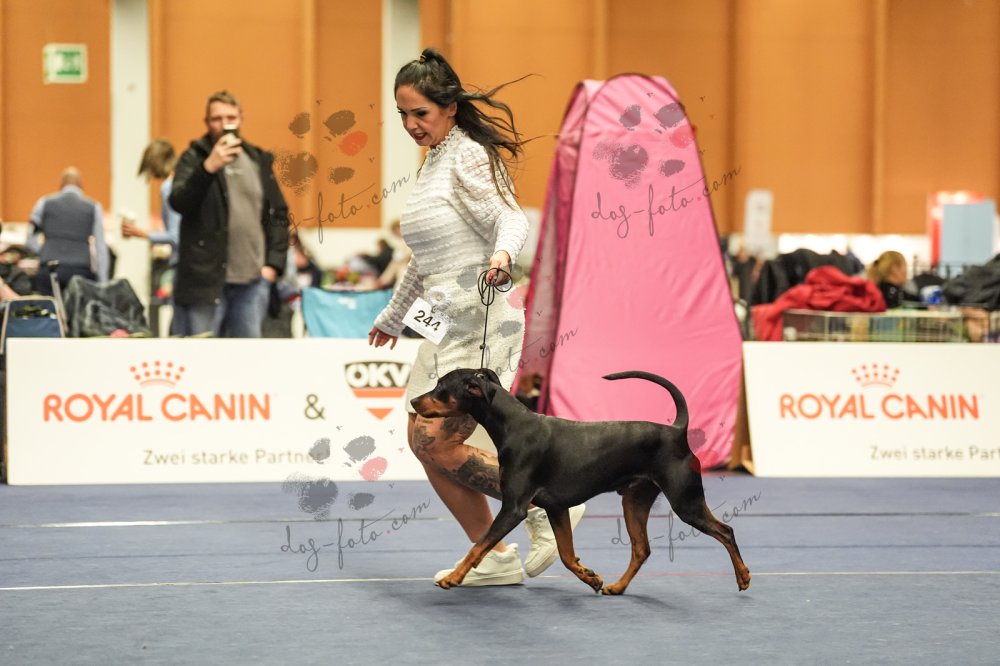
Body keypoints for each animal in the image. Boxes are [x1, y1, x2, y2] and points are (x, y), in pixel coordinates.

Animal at [410, 368, 751, 595]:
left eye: (441, 386)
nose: (413, 401)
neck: (513, 425)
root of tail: (677, 430)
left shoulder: (513, 508)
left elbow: (479, 545)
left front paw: (454, 578)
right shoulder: (556, 508)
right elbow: (565, 555)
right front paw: (591, 577)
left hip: (685, 502)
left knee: (726, 531)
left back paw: (744, 576)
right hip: (635, 501)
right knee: (641, 549)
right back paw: (617, 586)